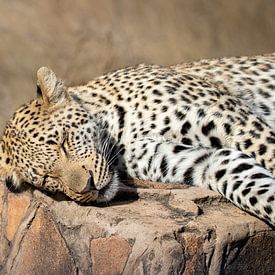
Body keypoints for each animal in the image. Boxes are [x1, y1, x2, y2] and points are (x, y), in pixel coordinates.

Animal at [1, 52, 275, 227]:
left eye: (63, 142)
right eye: (48, 178)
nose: (88, 187)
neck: (119, 137)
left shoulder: (233, 121)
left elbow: (268, 153)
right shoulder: (190, 159)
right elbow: (249, 185)